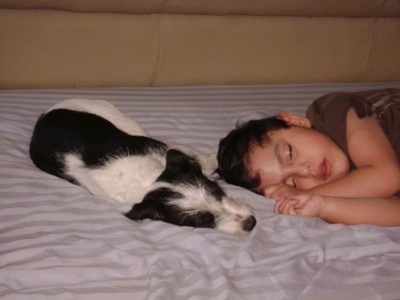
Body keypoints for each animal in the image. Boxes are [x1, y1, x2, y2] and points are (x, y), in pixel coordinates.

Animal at [31, 99, 256, 236]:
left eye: (217, 192)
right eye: (204, 220)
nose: (251, 223)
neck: (149, 181)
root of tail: (44, 116)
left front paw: (212, 162)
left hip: (117, 118)